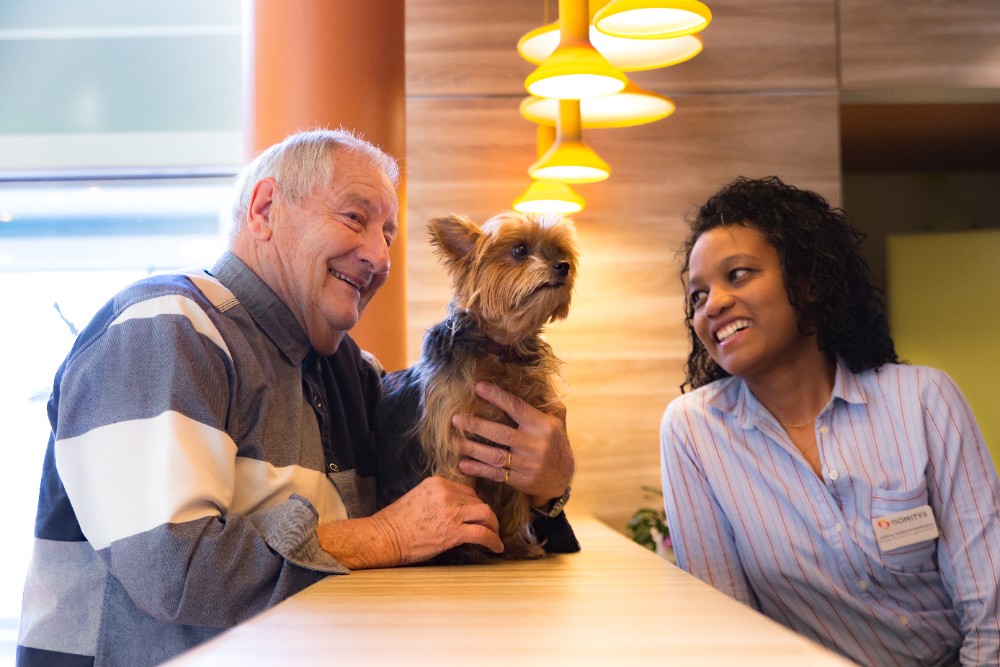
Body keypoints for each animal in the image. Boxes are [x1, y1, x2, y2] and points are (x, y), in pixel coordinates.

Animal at [376, 210, 580, 564]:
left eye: (559, 251)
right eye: (519, 249)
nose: (563, 266)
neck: (500, 349)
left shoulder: (519, 442)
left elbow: (515, 496)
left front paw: (516, 544)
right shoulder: (451, 438)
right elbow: (459, 489)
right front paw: (463, 549)